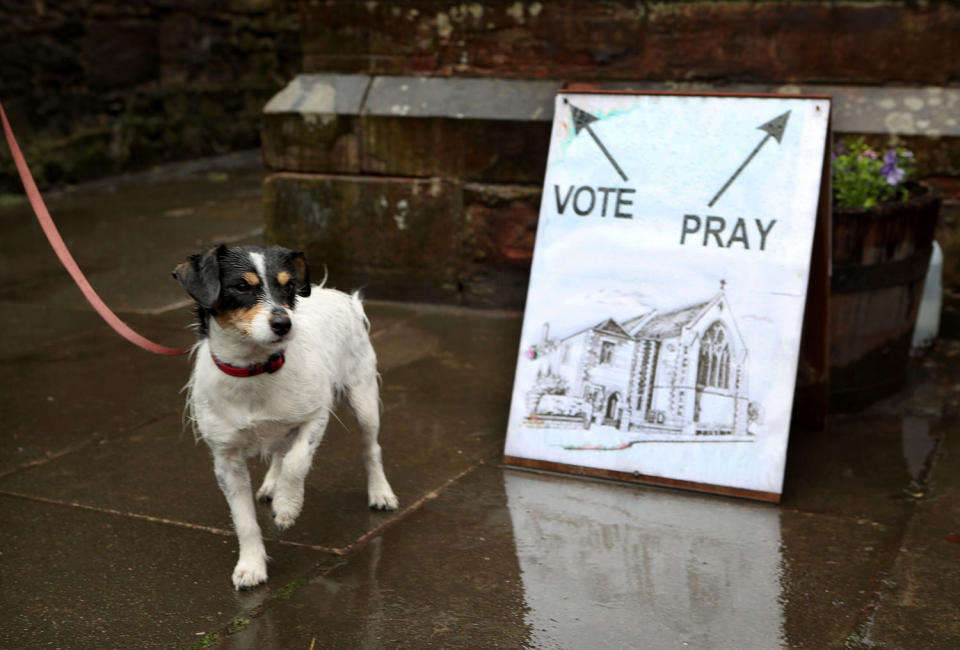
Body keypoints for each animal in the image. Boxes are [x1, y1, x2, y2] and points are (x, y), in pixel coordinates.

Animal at [172, 243, 398, 588]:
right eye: (241, 286)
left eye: (289, 286)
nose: (284, 323)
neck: (255, 370)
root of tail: (335, 293)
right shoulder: (226, 459)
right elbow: (244, 520)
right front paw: (251, 565)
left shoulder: (316, 416)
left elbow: (297, 462)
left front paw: (287, 506)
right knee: (280, 450)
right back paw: (270, 486)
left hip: (364, 401)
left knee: (371, 449)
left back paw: (380, 492)